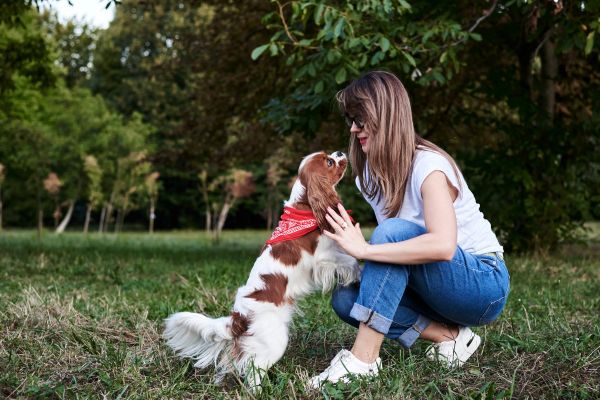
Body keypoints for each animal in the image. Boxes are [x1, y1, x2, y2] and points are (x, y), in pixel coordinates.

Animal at [164, 150, 358, 388]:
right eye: (329, 162)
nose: (340, 152)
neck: (305, 208)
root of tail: (239, 316)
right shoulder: (323, 257)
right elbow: (351, 261)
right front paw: (357, 276)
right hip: (275, 339)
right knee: (253, 370)